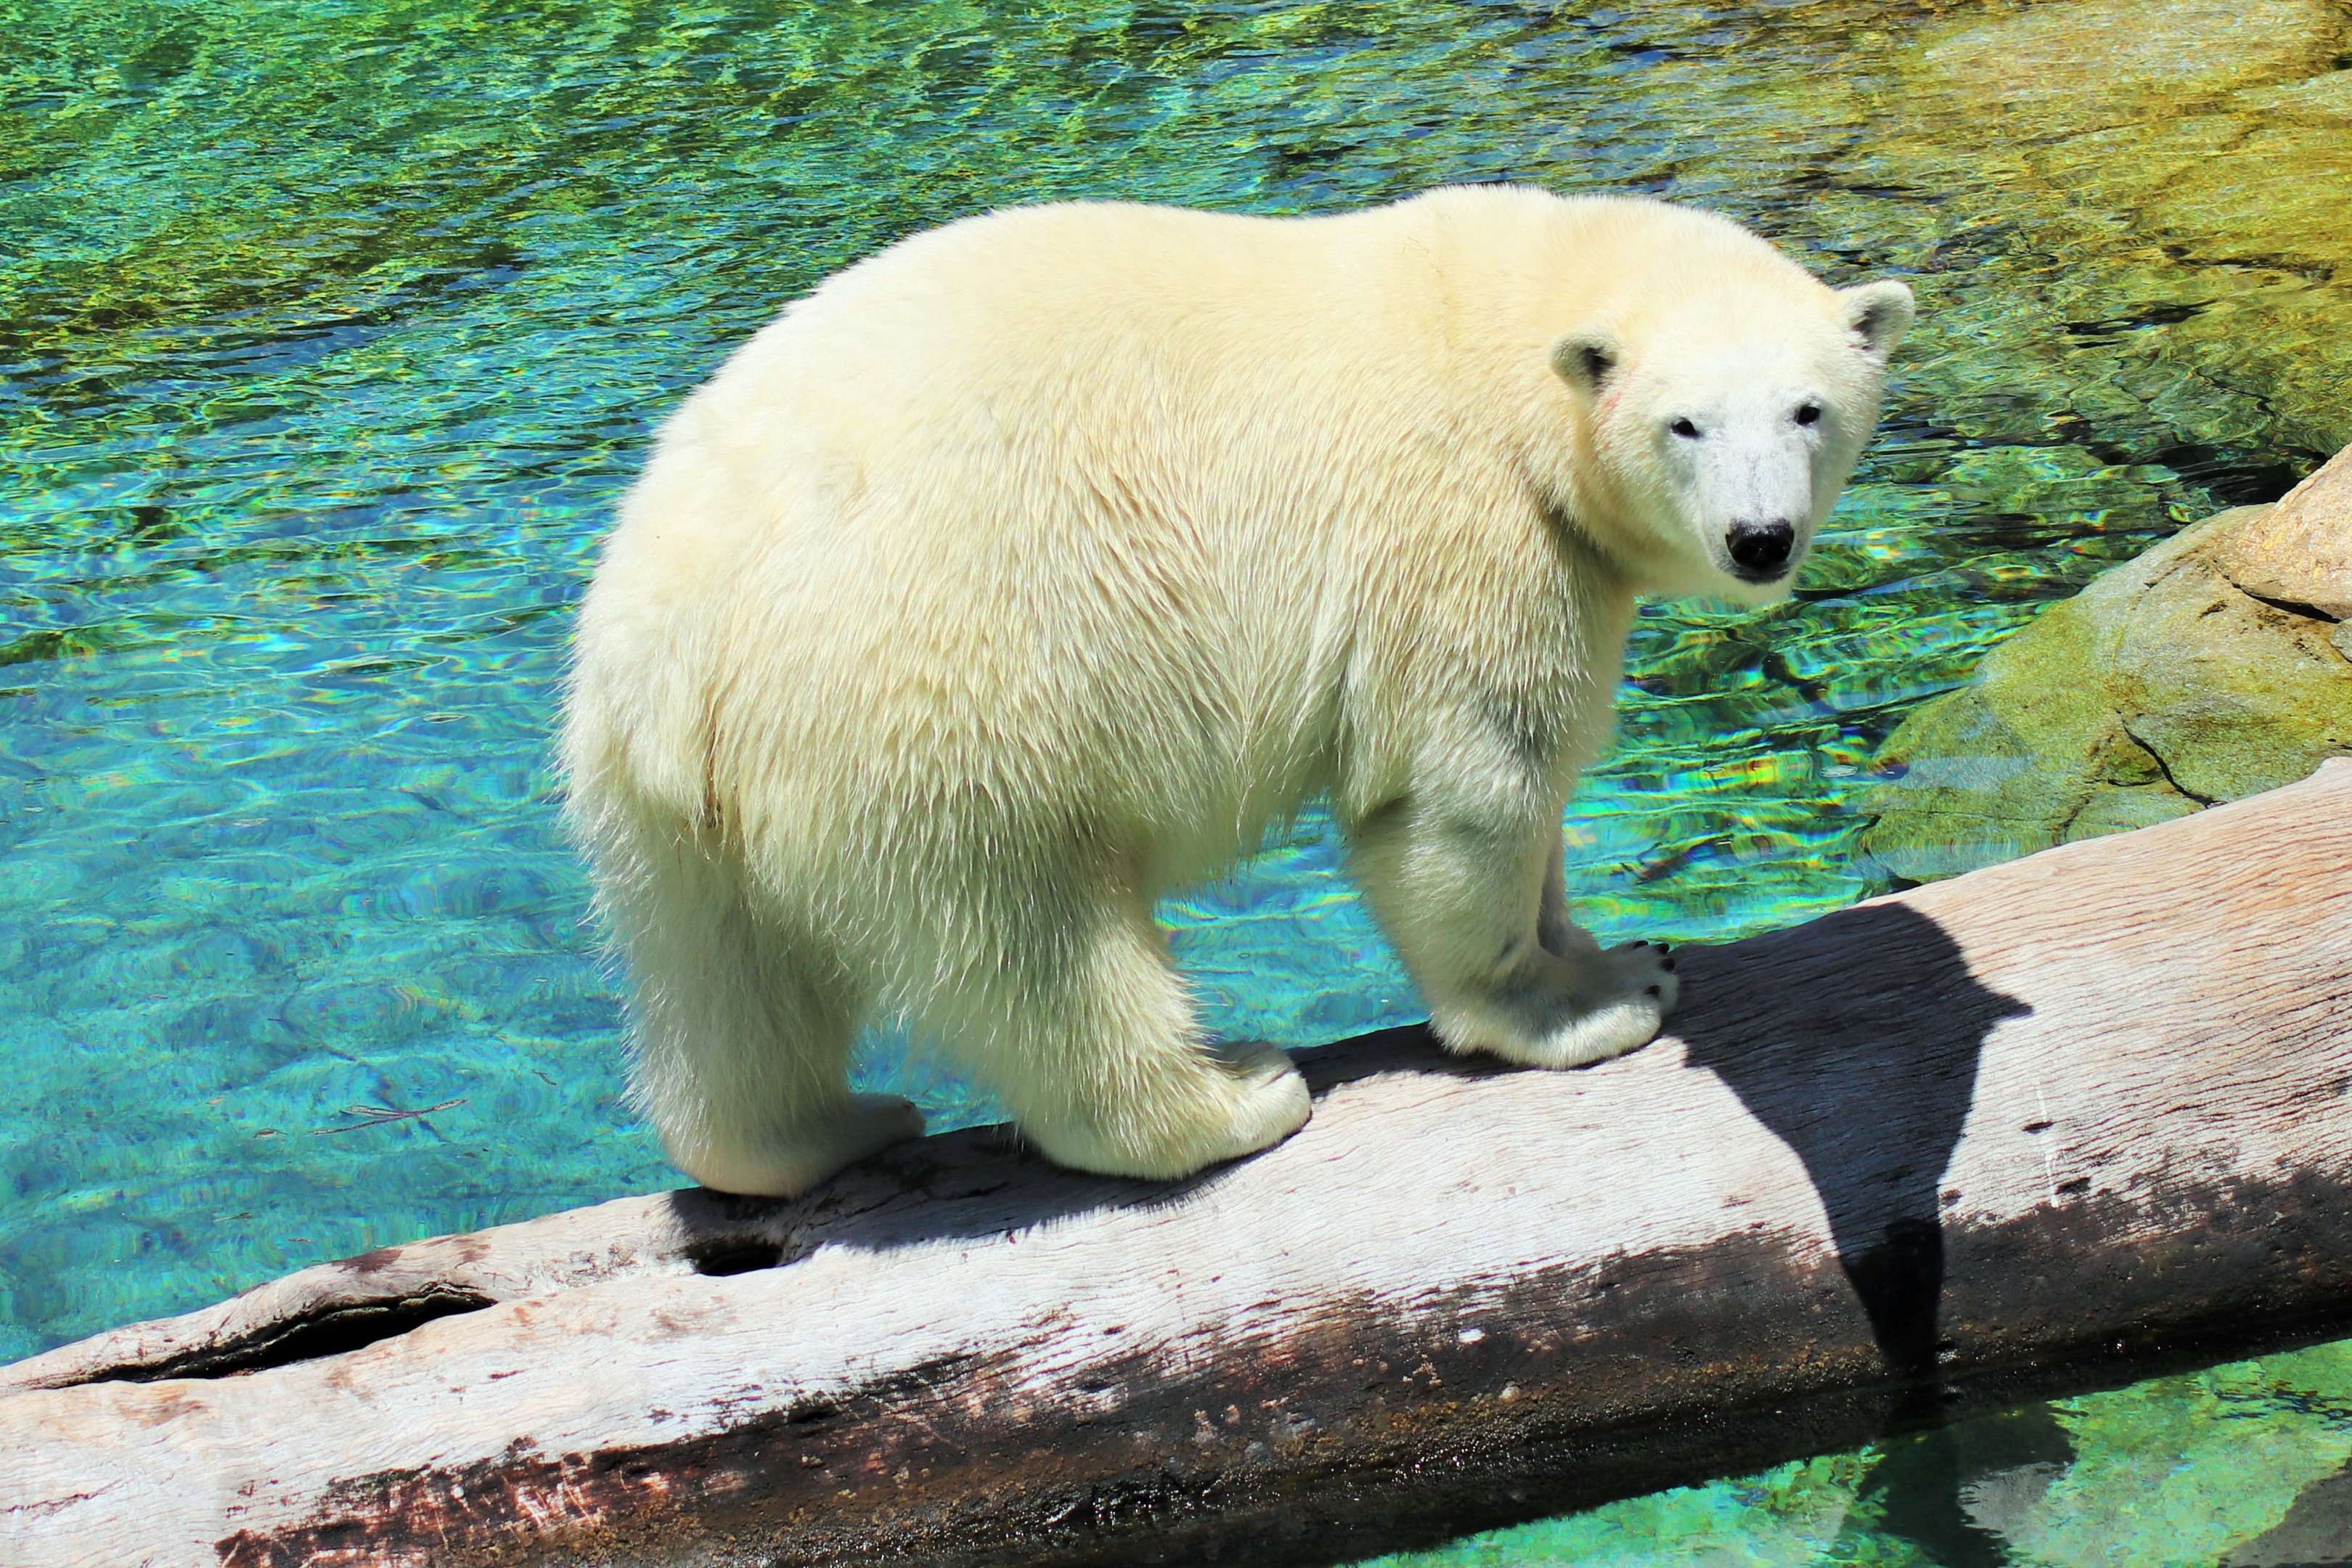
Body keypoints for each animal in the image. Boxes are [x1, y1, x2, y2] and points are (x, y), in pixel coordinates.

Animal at [560, 185, 1914, 1197]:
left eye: (1810, 409)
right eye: (1687, 424)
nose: (1760, 539)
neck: (1491, 327)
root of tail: (670, 641)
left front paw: (1604, 941)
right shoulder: (1465, 532)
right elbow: (1469, 784)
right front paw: (1592, 998)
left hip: (658, 801)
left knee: (721, 978)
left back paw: (820, 1132)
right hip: (939, 690)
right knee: (1035, 935)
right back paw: (1234, 1094)